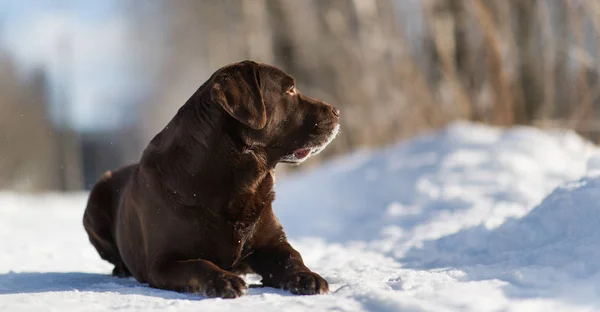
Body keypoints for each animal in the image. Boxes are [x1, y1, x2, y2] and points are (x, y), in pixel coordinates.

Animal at [82, 60, 340, 298]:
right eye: (290, 90)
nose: (337, 111)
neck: (236, 181)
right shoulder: (161, 262)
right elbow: (199, 263)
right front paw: (224, 280)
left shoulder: (273, 242)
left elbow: (292, 256)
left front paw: (307, 277)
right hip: (95, 204)